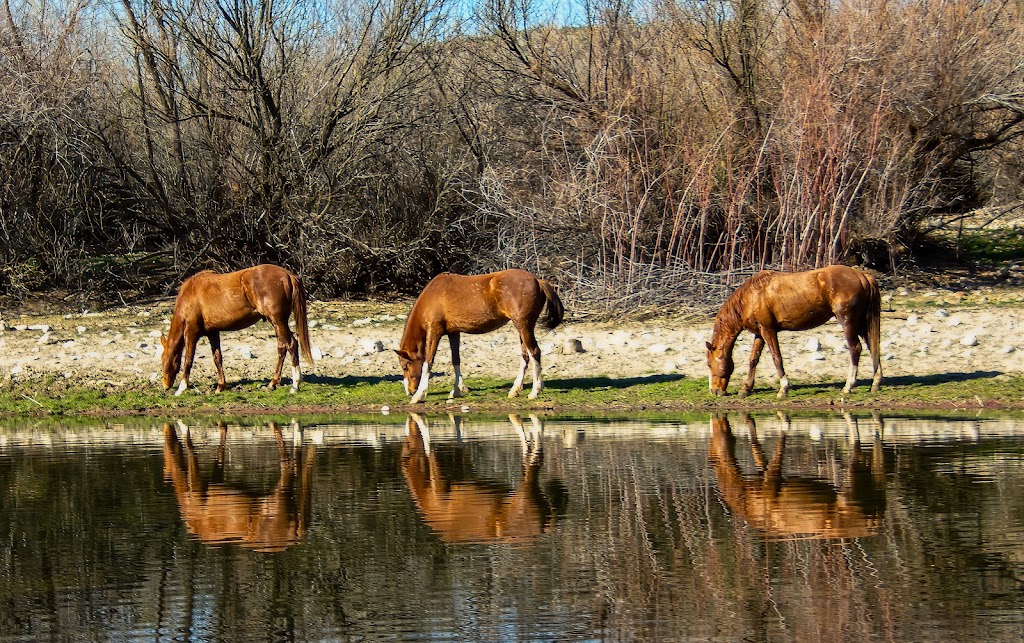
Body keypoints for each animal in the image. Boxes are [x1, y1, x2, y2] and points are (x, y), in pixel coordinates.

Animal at [158, 264, 311, 395]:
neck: (190, 294)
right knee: (282, 348)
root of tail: (288, 275)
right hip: (278, 324)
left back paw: (295, 385)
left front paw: (182, 388)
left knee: (291, 344)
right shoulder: (213, 332)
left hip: (278, 322)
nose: (165, 385)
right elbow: (217, 358)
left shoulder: (191, 332)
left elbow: (188, 360)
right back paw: (273, 383)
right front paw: (221, 386)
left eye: (164, 360)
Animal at [162, 421, 315, 552]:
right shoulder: (215, 481)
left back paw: (279, 426)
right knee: (296, 463)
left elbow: (190, 447)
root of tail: (293, 536)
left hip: (279, 494)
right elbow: (221, 446)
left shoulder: (197, 487)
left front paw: (183, 427)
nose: (168, 427)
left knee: (287, 464)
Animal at [393, 270, 569, 401]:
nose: (409, 391)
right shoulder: (453, 333)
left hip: (523, 326)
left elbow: (428, 362)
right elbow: (456, 360)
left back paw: (535, 391)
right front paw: (457, 390)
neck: (432, 296)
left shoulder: (435, 332)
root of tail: (538, 281)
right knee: (525, 356)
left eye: (405, 366)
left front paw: (419, 395)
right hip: (522, 328)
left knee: (534, 352)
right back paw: (515, 390)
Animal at [704, 264, 880, 397]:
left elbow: (777, 358)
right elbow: (753, 359)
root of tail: (862, 276)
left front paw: (783, 389)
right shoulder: (759, 333)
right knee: (873, 346)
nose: (714, 391)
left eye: (709, 364)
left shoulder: (768, 330)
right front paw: (746, 389)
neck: (751, 296)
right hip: (862, 323)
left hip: (848, 322)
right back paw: (876, 383)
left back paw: (848, 386)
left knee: (855, 349)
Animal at [708, 413, 884, 540]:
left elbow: (778, 446)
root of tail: (873, 520)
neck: (747, 498)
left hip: (849, 488)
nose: (720, 425)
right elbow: (757, 449)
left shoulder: (772, 479)